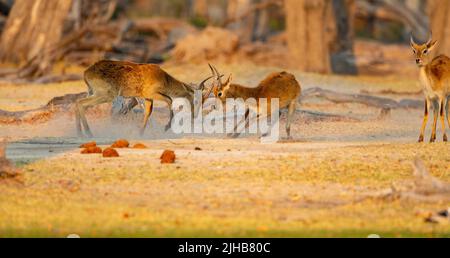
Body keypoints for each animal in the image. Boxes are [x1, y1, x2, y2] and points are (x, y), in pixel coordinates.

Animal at [75, 60, 213, 137]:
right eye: (196, 99)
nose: (194, 115)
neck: (164, 78)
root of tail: (86, 72)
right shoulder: (152, 93)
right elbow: (170, 100)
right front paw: (166, 127)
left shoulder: (147, 97)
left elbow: (148, 112)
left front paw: (141, 133)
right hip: (106, 94)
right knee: (81, 103)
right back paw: (88, 133)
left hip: (92, 92)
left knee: (78, 104)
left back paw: (80, 133)